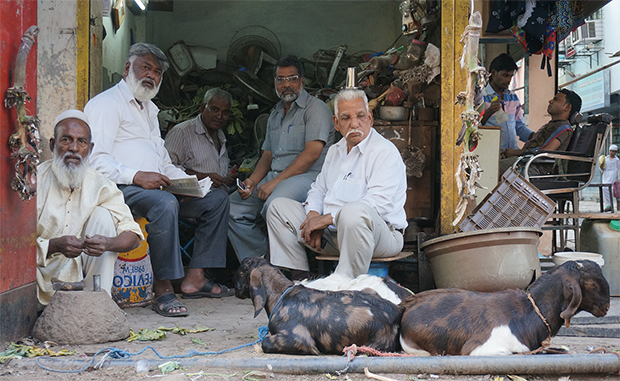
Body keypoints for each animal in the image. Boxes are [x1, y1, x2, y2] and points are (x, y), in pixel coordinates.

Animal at [235, 256, 404, 354]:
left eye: (241, 272)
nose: (235, 289)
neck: (281, 294)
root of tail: (397, 310)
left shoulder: (300, 339)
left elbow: (265, 341)